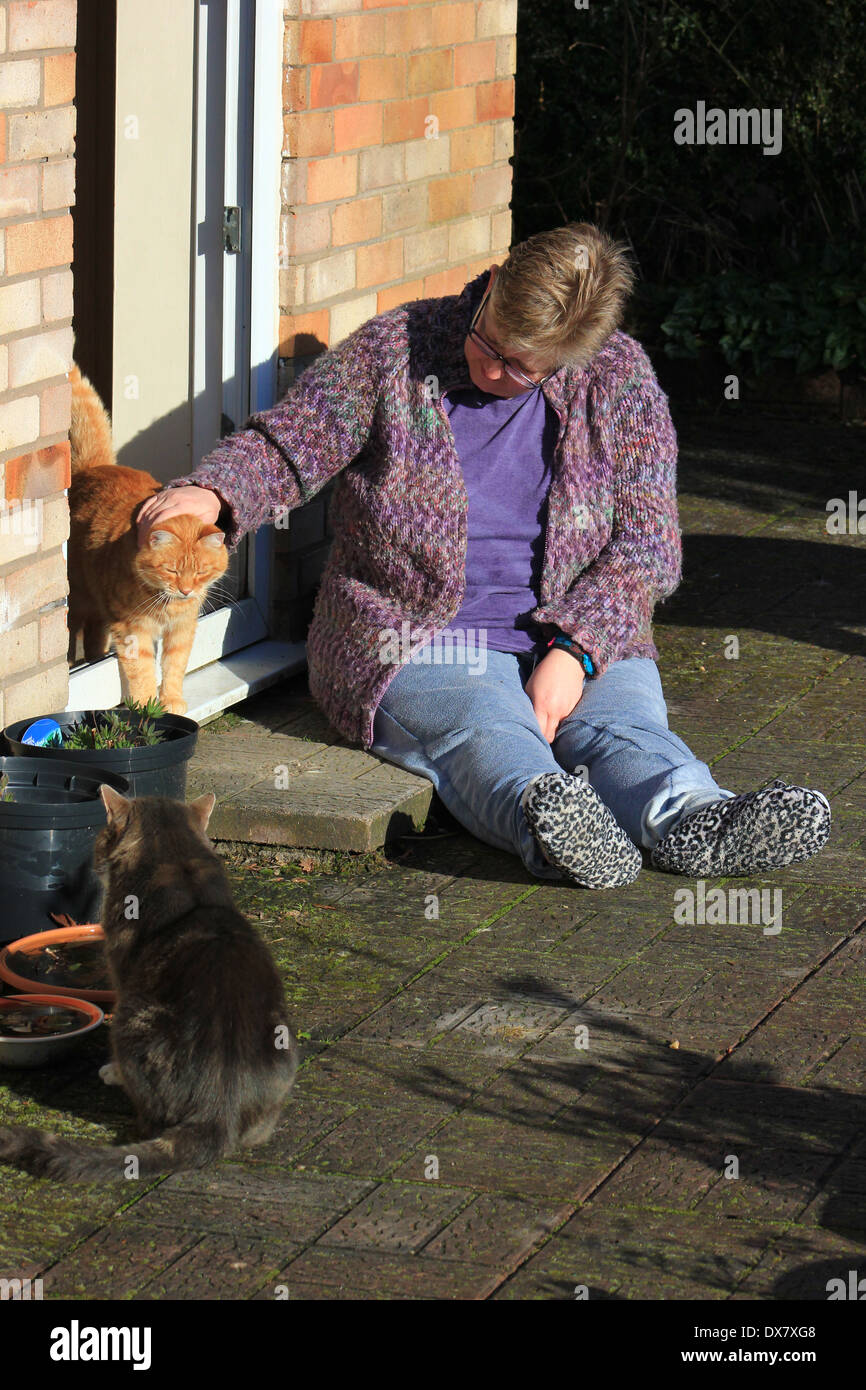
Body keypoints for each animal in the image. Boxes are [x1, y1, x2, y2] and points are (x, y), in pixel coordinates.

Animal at [67, 364, 226, 711]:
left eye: (201, 573)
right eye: (171, 570)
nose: (186, 590)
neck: (167, 603)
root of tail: (94, 468)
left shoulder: (182, 629)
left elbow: (174, 665)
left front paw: (172, 700)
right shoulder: (131, 629)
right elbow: (141, 669)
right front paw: (147, 706)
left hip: (98, 610)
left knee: (95, 637)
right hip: (77, 600)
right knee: (74, 634)